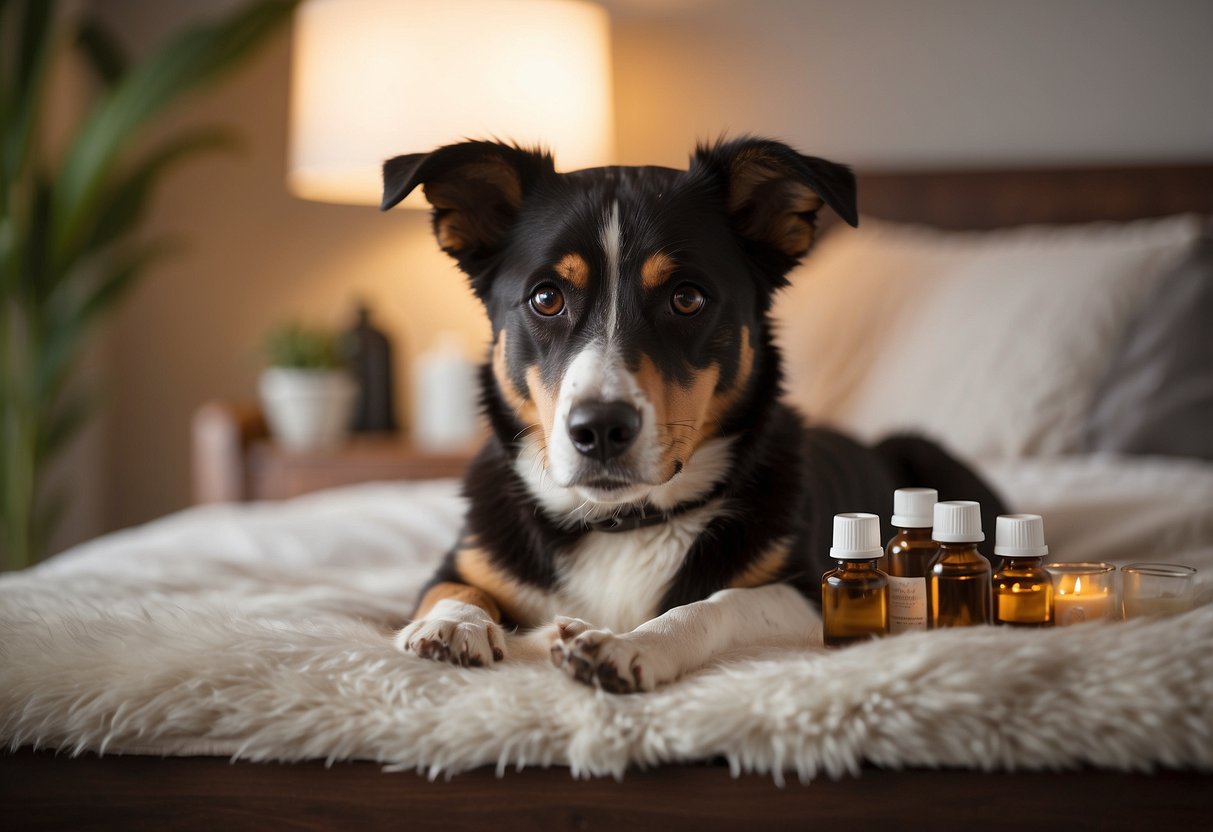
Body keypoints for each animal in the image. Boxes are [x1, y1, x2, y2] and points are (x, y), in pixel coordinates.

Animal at [380, 138, 1004, 698]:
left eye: (687, 299)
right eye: (546, 298)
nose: (599, 429)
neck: (622, 525)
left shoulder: (809, 591)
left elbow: (715, 602)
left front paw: (633, 644)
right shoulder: (464, 561)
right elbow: (453, 589)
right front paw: (452, 624)